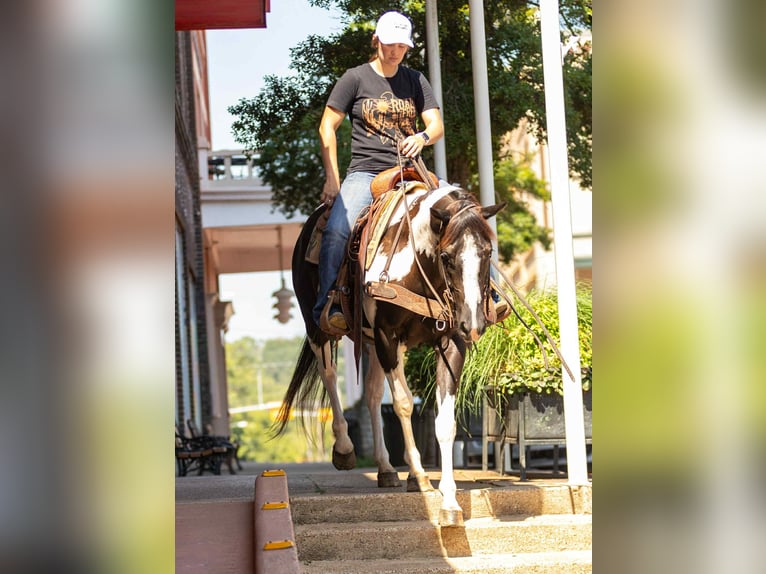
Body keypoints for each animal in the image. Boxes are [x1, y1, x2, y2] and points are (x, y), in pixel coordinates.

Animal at [274, 180, 504, 527]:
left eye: (488, 252)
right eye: (447, 256)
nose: (473, 324)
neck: (416, 266)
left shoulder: (451, 340)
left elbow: (445, 421)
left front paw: (449, 503)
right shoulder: (387, 335)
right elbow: (404, 404)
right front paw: (419, 476)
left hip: (370, 343)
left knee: (370, 396)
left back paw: (385, 468)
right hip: (320, 329)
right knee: (330, 376)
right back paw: (344, 449)